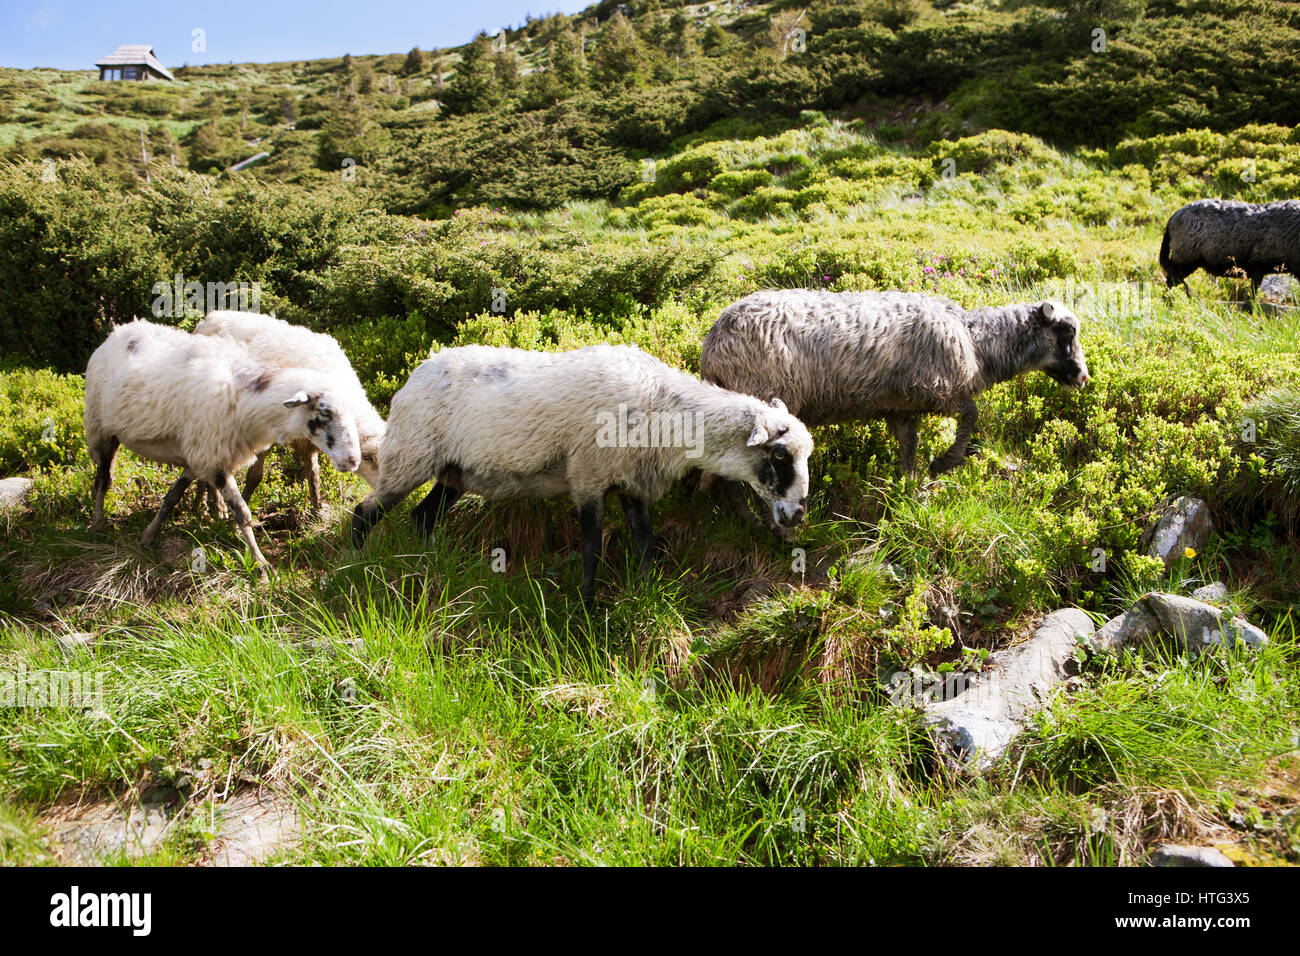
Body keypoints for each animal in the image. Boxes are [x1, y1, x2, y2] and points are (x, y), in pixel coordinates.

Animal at [84, 318, 362, 570]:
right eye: (324, 413)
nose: (352, 460)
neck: (246, 400)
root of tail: (119, 331)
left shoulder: (201, 454)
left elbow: (172, 496)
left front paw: (148, 536)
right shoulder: (213, 458)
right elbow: (242, 512)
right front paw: (261, 564)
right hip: (101, 430)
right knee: (103, 479)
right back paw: (98, 525)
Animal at [193, 310, 386, 513]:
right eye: (368, 458)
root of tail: (212, 316)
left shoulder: (309, 440)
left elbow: (313, 474)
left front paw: (317, 512)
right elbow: (255, 475)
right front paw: (241, 507)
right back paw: (212, 506)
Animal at [349, 343, 815, 604]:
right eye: (779, 454)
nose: (796, 514)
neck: (662, 409)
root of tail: (414, 374)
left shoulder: (630, 480)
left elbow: (645, 541)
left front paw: (644, 590)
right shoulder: (589, 476)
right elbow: (592, 545)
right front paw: (588, 604)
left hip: (452, 472)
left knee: (422, 516)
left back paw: (427, 568)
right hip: (411, 456)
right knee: (365, 512)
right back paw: (353, 566)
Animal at [699, 290, 1090, 477]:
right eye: (1067, 332)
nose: (1084, 378)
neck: (975, 341)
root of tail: (713, 346)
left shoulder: (900, 407)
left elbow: (909, 445)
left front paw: (909, 483)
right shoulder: (937, 388)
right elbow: (971, 416)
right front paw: (944, 463)